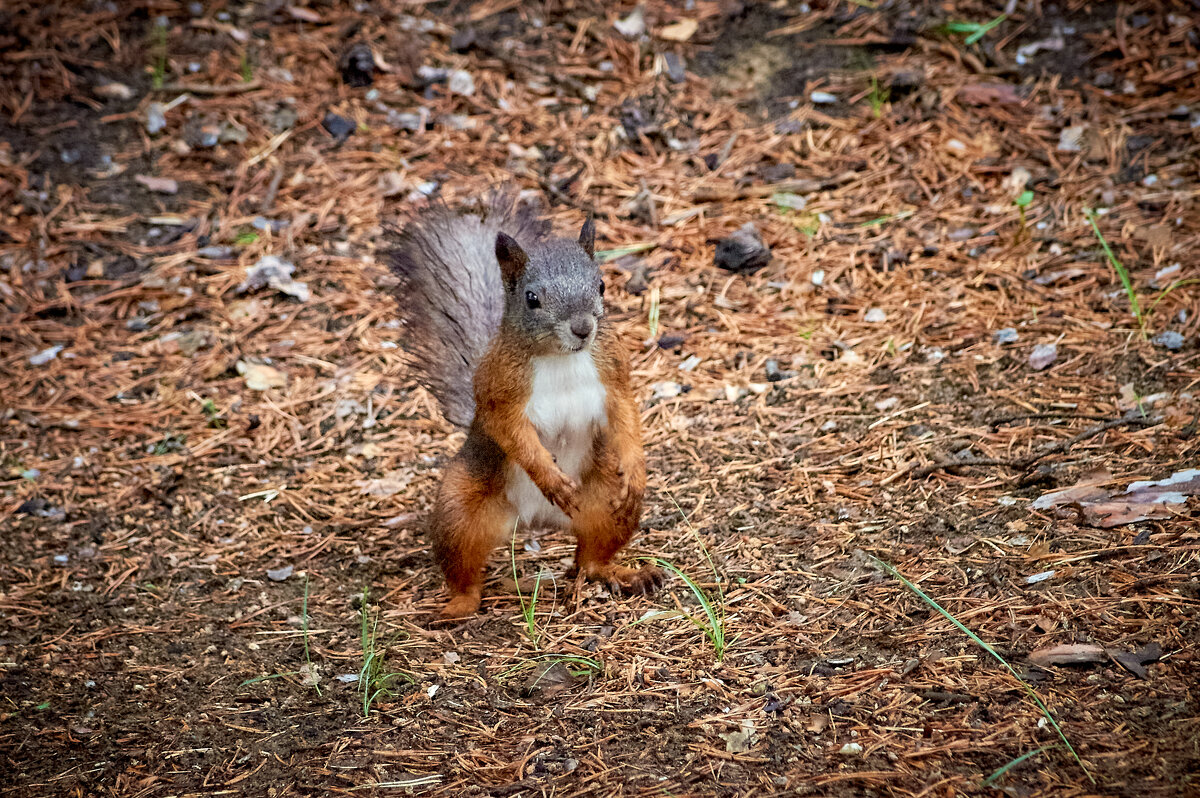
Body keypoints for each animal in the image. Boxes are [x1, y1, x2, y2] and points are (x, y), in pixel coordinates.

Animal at [386, 194, 662, 624]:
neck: (561, 357)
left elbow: (626, 416)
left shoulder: (615, 372)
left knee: (591, 558)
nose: (583, 328)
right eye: (532, 298)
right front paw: (550, 477)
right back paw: (457, 605)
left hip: (606, 502)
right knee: (465, 571)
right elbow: (512, 432)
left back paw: (623, 572)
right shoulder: (497, 392)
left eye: (601, 285)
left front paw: (636, 469)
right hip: (459, 510)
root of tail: (534, 521)